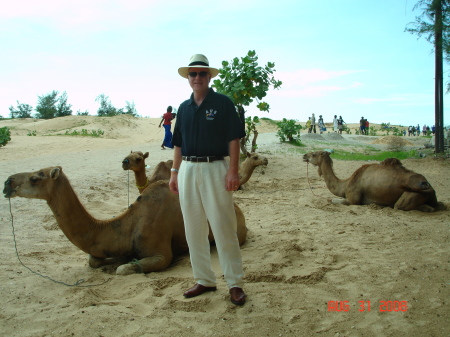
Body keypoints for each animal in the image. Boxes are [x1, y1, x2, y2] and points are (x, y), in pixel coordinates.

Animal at [2, 167, 246, 274]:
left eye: (35, 178)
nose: (7, 182)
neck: (130, 224)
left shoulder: (161, 254)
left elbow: (123, 269)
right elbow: (94, 260)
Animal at [300, 151, 444, 211]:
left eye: (314, 154)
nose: (304, 156)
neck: (346, 183)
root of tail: (429, 186)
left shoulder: (354, 200)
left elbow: (332, 200)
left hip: (411, 193)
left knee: (400, 206)